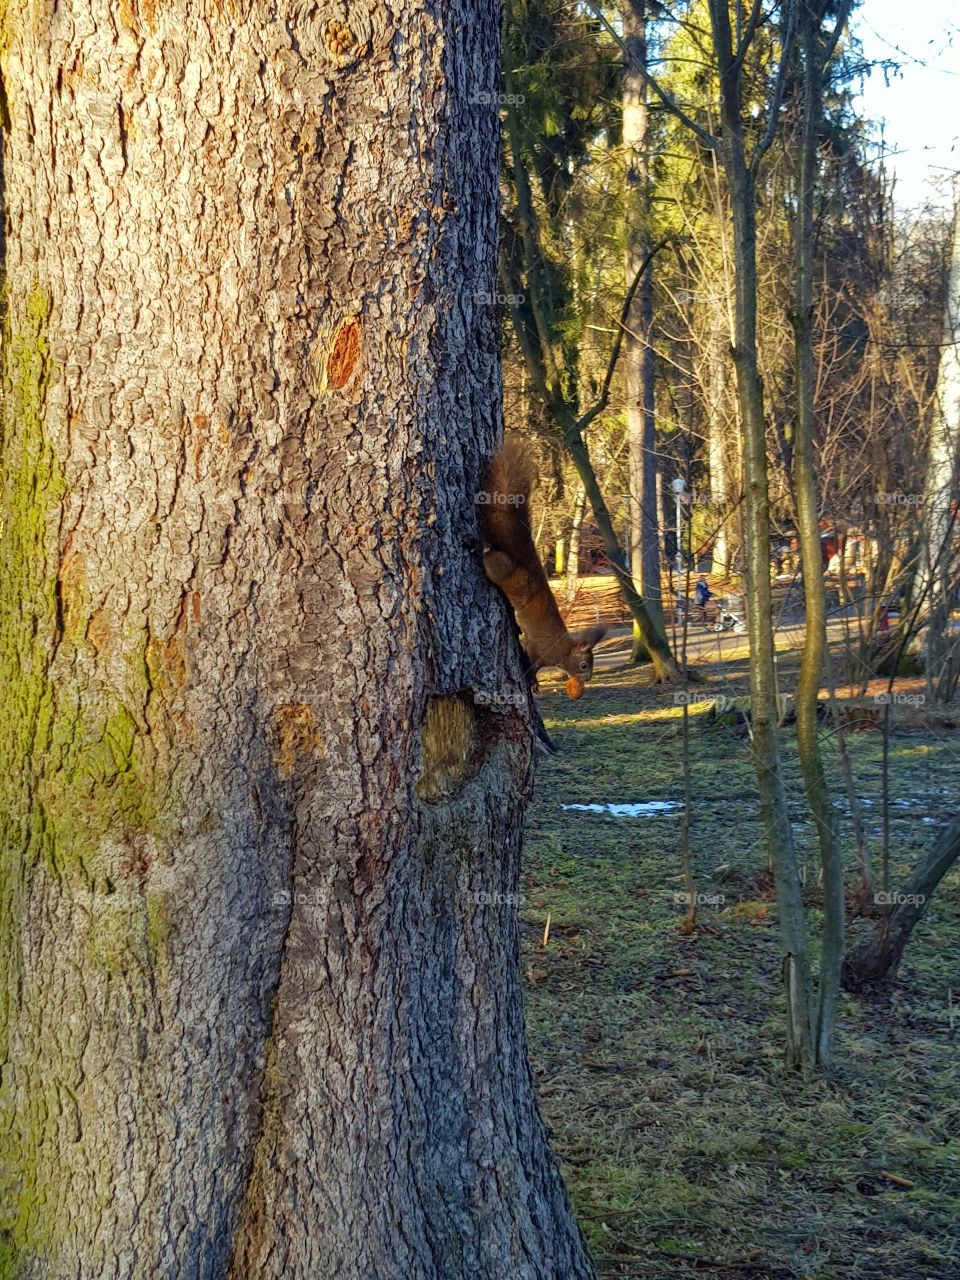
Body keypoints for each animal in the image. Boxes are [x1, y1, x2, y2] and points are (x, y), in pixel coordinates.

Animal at [479, 435, 607, 697]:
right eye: (583, 665)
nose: (589, 678)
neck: (565, 648)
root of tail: (530, 564)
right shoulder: (541, 650)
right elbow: (531, 664)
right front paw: (533, 682)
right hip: (505, 572)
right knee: (492, 560)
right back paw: (483, 546)